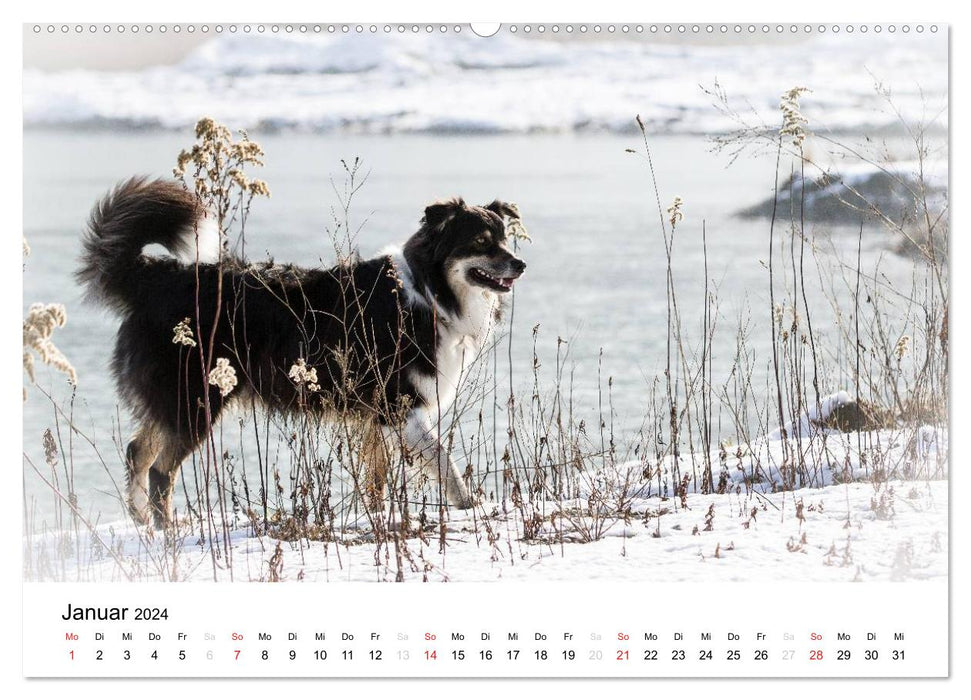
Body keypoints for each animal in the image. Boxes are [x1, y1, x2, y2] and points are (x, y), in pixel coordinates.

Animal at [79, 178, 528, 528]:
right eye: (481, 242)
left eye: (505, 240)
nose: (521, 264)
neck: (428, 291)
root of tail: (154, 278)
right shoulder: (396, 407)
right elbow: (443, 459)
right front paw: (470, 505)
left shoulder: (374, 419)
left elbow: (377, 480)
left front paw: (378, 517)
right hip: (196, 400)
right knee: (159, 469)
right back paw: (168, 530)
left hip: (174, 402)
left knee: (137, 452)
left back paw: (142, 522)